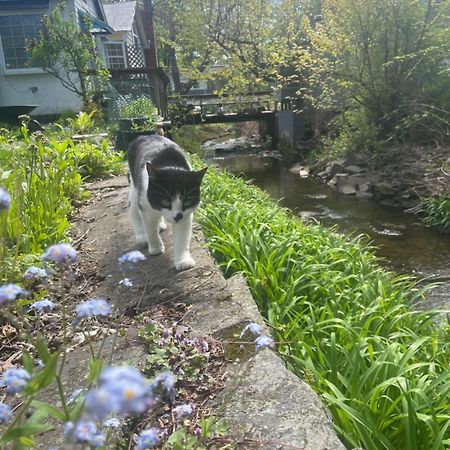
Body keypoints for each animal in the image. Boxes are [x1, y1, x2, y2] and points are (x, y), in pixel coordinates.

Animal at [126, 134, 207, 270]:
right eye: (165, 202)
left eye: (187, 202)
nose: (177, 216)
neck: (169, 164)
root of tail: (144, 135)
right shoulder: (145, 204)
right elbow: (150, 228)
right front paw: (155, 248)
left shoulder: (186, 215)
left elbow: (182, 237)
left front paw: (183, 260)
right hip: (135, 186)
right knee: (133, 210)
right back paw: (142, 236)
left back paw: (161, 224)